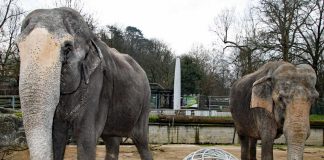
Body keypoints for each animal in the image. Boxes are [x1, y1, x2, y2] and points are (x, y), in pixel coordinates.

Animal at [17, 7, 153, 160]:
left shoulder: (98, 84)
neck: (91, 38)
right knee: (112, 140)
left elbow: (86, 137)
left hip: (145, 103)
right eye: (18, 48)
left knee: (141, 140)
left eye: (67, 48)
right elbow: (57, 136)